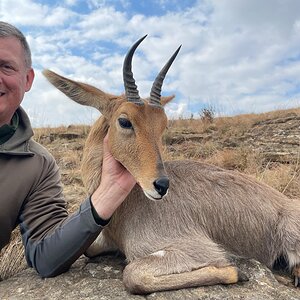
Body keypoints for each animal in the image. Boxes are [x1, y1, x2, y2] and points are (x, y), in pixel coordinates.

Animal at [42, 35, 300, 296]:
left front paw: (236, 271)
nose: (162, 185)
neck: (124, 210)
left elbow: (133, 274)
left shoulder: (195, 248)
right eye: (124, 121)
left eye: (163, 125)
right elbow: (91, 250)